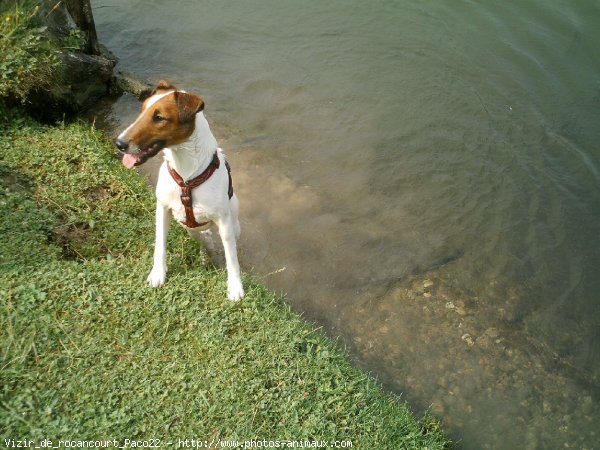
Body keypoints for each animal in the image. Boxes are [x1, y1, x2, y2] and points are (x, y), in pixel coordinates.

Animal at [115, 80, 244, 302]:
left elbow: (231, 258)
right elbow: (160, 244)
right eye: (142, 110)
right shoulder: (162, 209)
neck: (186, 176)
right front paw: (158, 273)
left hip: (233, 221)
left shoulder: (224, 223)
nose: (119, 143)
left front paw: (235, 286)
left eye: (159, 118)